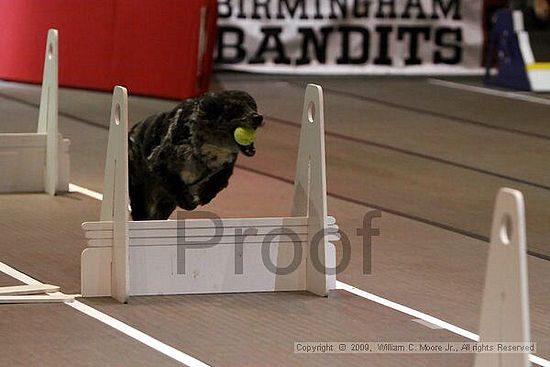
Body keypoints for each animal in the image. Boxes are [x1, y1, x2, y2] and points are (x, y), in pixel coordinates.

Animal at [132, 91, 266, 221]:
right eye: (236, 108)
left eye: (253, 106)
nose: (258, 117)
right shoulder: (159, 163)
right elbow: (175, 184)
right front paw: (188, 201)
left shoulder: (226, 166)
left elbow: (219, 180)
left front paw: (205, 195)